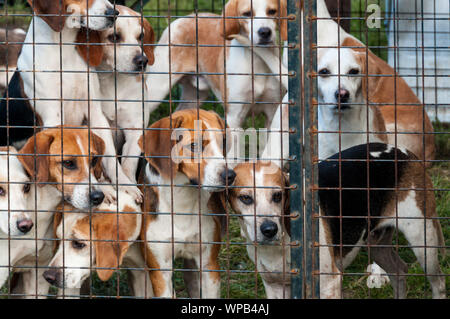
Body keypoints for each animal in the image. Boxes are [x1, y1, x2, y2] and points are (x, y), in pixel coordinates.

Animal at [139, 109, 234, 298]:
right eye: (194, 146)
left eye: (222, 143)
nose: (230, 175)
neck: (182, 199)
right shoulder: (160, 272)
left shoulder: (209, 266)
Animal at [145, 0, 284, 130]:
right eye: (247, 13)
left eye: (272, 11)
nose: (265, 32)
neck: (257, 60)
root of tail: (186, 17)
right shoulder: (234, 117)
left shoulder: (272, 114)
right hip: (157, 89)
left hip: (194, 96)